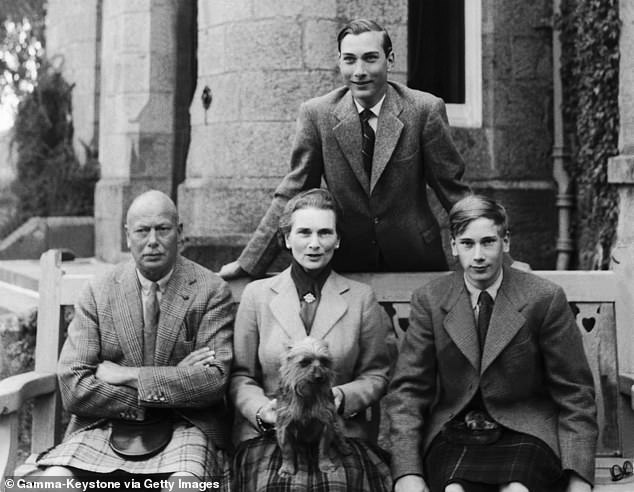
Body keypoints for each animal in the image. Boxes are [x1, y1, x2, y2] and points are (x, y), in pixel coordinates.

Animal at [274, 336, 348, 474]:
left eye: (324, 361)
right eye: (304, 362)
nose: (319, 376)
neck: (308, 393)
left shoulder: (327, 422)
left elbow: (324, 449)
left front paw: (325, 465)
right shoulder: (284, 425)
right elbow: (287, 450)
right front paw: (287, 468)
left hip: (336, 422)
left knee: (339, 435)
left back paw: (344, 447)